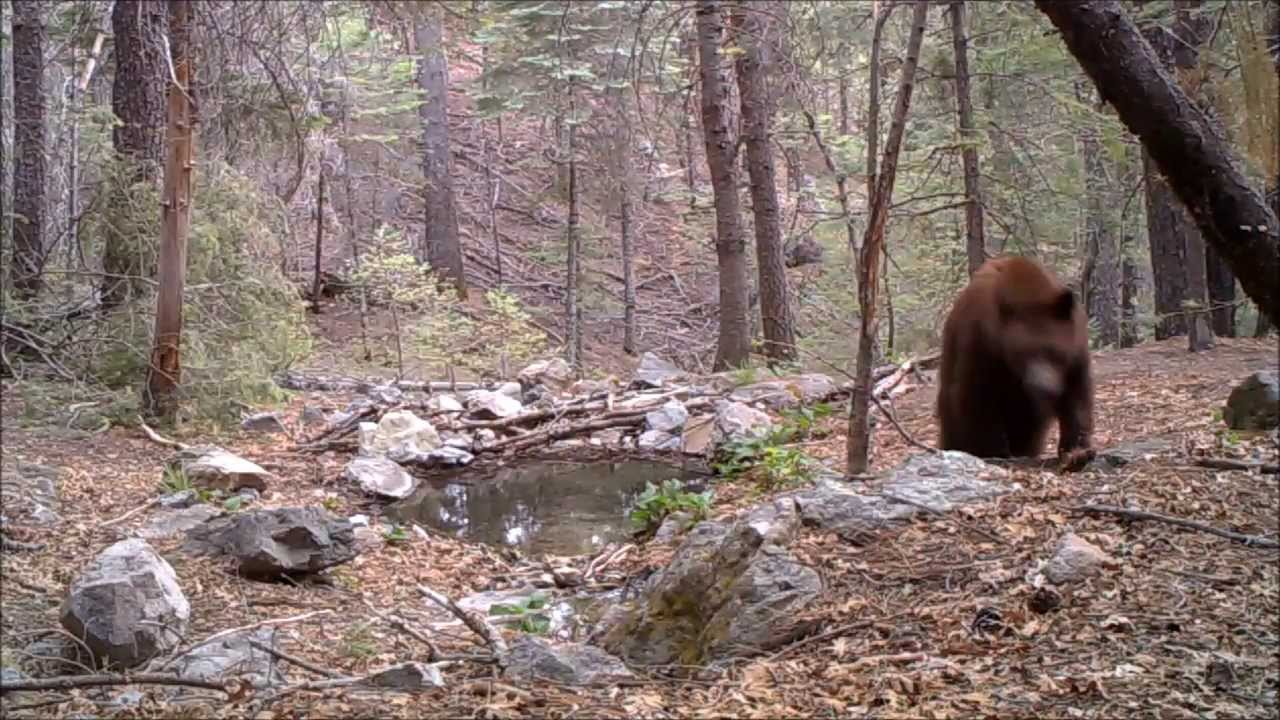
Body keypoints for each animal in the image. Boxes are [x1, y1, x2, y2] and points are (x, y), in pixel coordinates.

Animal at [936, 255, 1095, 470]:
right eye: (1024, 353)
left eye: (1055, 351)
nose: (1044, 387)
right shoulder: (980, 343)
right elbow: (975, 397)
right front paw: (993, 451)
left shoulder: (1075, 353)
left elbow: (1076, 394)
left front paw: (1077, 452)